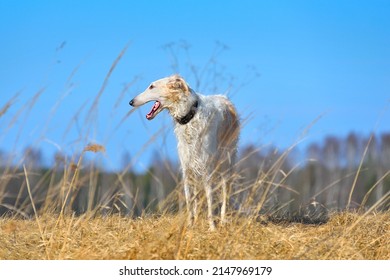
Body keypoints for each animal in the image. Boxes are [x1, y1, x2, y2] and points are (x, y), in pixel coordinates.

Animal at [129, 74, 239, 230]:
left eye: (151, 86)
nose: (131, 102)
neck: (190, 117)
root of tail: (226, 99)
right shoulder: (187, 169)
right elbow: (190, 202)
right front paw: (190, 225)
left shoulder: (207, 169)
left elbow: (210, 200)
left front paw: (212, 227)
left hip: (226, 164)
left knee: (225, 193)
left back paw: (223, 221)